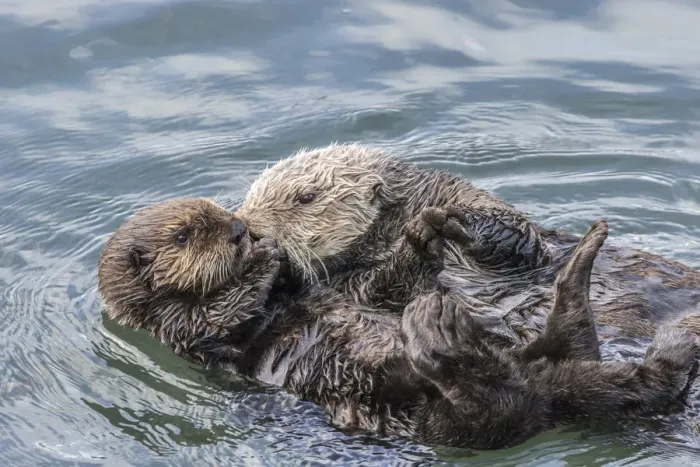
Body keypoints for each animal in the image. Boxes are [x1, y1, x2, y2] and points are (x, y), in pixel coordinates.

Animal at [98, 198, 698, 450]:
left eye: (219, 212)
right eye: (184, 235)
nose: (241, 229)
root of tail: (550, 394)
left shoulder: (335, 287)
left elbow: (379, 287)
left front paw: (426, 230)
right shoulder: (187, 330)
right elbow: (225, 310)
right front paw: (263, 260)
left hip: (543, 367)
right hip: (434, 420)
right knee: (492, 409)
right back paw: (439, 335)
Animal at [236, 143, 700, 341]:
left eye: (306, 197)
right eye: (252, 193)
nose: (247, 226)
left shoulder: (475, 201)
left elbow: (518, 238)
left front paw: (452, 223)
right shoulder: (351, 288)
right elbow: (384, 289)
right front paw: (418, 244)